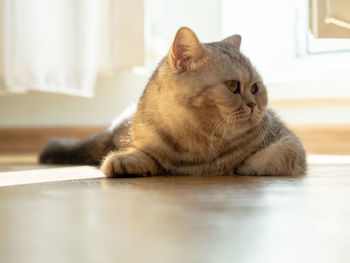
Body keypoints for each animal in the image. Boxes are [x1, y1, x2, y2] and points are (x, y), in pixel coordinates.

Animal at [39, 27, 304, 177]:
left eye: (255, 88)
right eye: (232, 86)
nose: (253, 104)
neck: (200, 141)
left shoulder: (288, 140)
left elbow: (279, 153)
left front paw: (246, 165)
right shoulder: (145, 144)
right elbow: (142, 154)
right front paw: (124, 161)